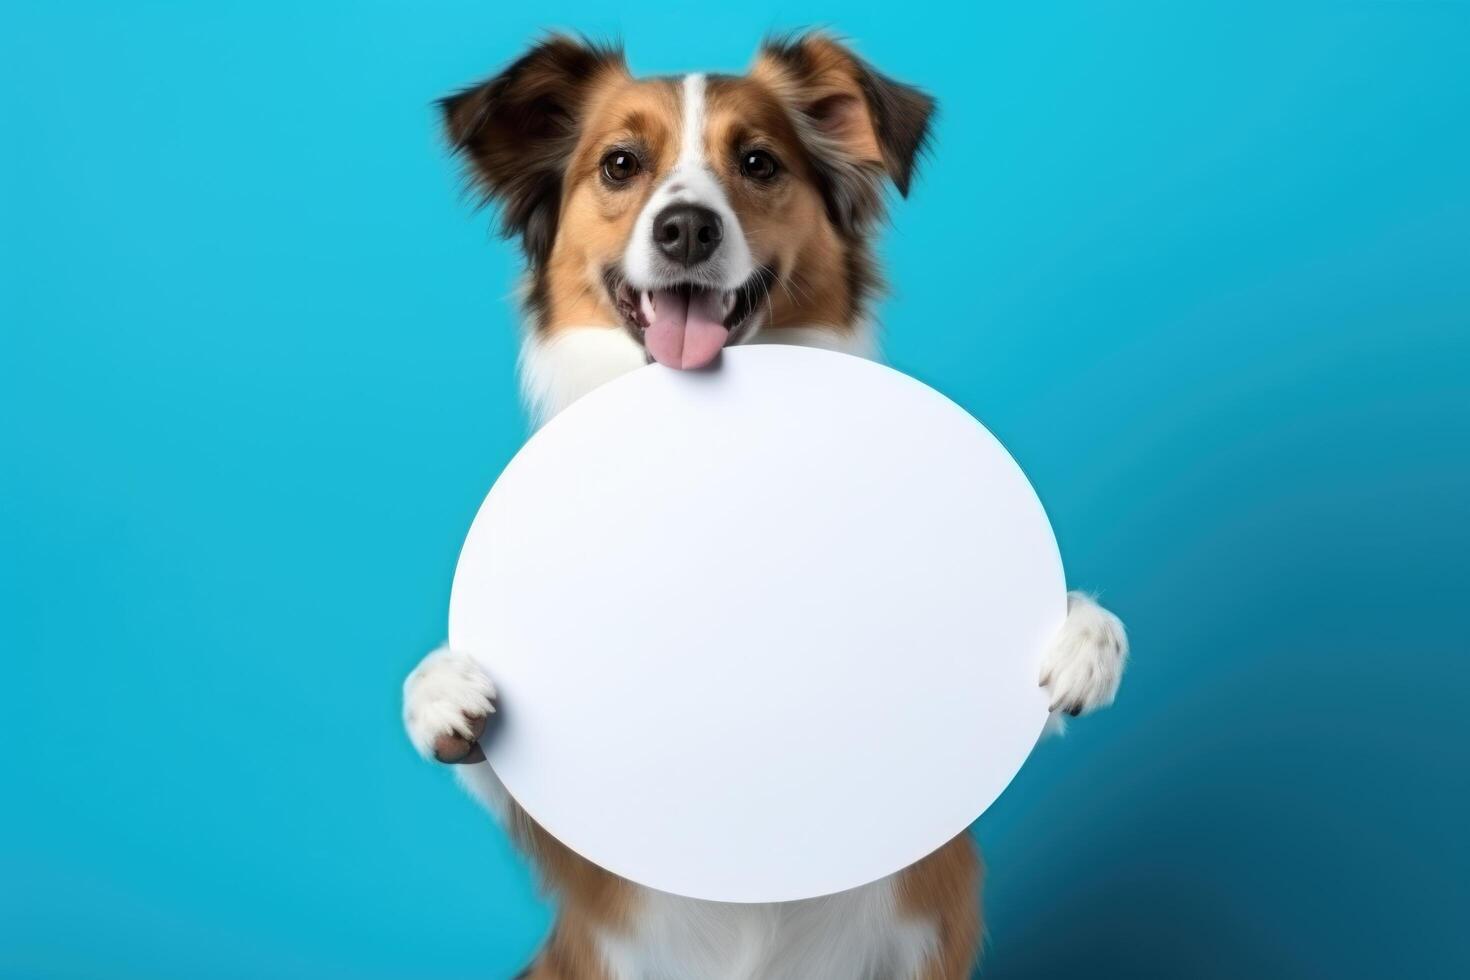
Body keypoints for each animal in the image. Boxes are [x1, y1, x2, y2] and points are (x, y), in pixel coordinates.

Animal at [402, 32, 1123, 980]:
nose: (686, 228)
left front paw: (1086, 635)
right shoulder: (571, 843)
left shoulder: (943, 830)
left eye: (758, 162)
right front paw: (441, 690)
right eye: (621, 164)